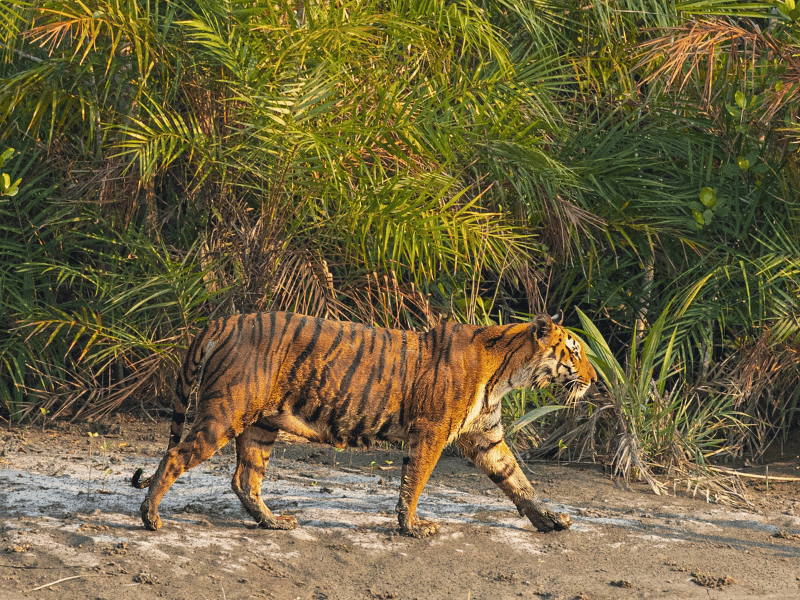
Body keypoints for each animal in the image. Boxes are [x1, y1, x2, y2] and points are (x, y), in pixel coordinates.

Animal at [132, 310, 597, 537]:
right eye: (574, 351)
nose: (594, 380)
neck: (507, 373)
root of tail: (223, 320)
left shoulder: (487, 437)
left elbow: (518, 480)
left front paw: (550, 520)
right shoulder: (430, 432)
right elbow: (414, 483)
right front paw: (412, 528)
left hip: (261, 425)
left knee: (244, 479)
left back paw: (274, 522)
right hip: (226, 412)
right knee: (176, 455)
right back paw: (150, 517)